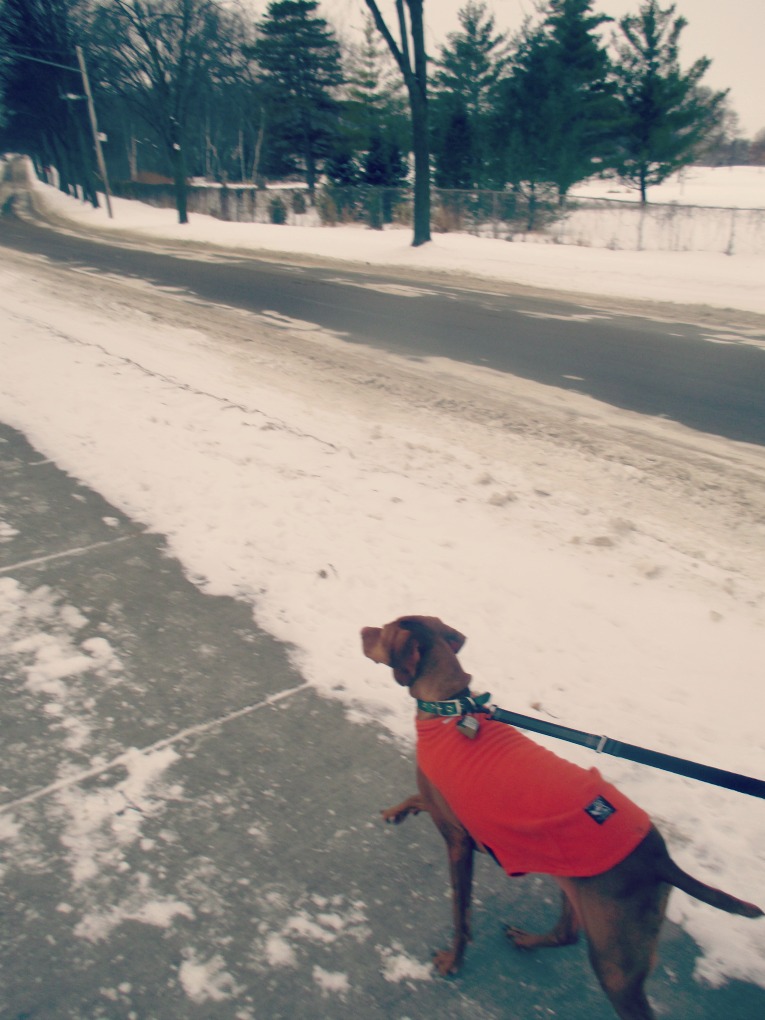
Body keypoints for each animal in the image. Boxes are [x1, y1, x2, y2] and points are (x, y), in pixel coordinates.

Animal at [361, 615, 762, 1020]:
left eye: (384, 630)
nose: (362, 630)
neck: (449, 708)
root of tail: (659, 858)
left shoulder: (458, 841)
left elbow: (461, 915)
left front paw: (453, 961)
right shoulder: (449, 813)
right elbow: (418, 798)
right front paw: (397, 811)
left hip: (615, 958)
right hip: (575, 886)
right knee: (567, 933)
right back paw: (528, 939)